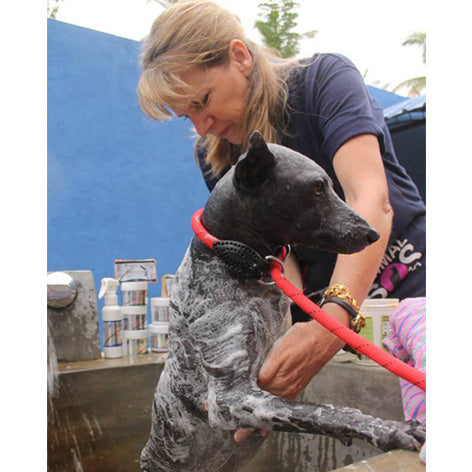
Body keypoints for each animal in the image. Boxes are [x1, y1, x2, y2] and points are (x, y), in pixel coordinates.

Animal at [140, 132, 425, 472]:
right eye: (317, 187)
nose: (373, 234)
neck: (241, 265)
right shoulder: (231, 398)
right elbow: (326, 411)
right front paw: (389, 429)